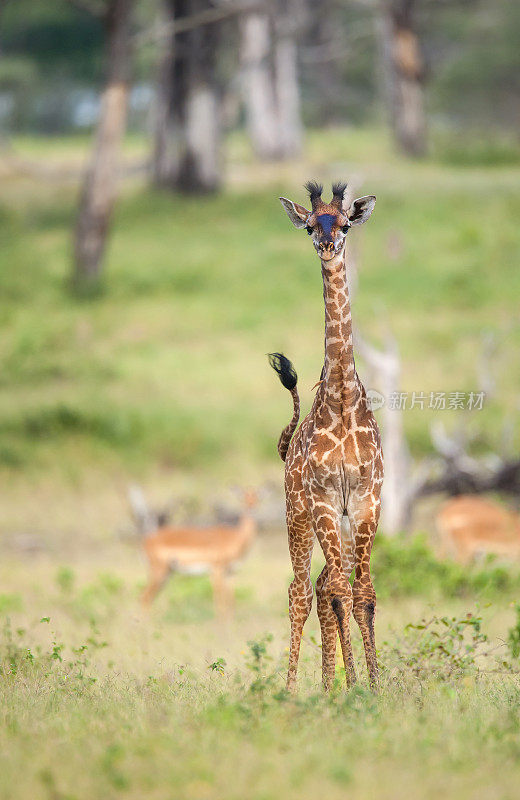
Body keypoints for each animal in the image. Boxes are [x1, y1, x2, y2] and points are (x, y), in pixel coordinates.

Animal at [130, 490, 258, 616]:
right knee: (144, 598)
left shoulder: (231, 573)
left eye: (258, 497)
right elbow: (220, 602)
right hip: (159, 572)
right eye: (243, 498)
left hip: (167, 573)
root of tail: (146, 541)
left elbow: (231, 601)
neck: (235, 538)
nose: (251, 507)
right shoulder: (216, 571)